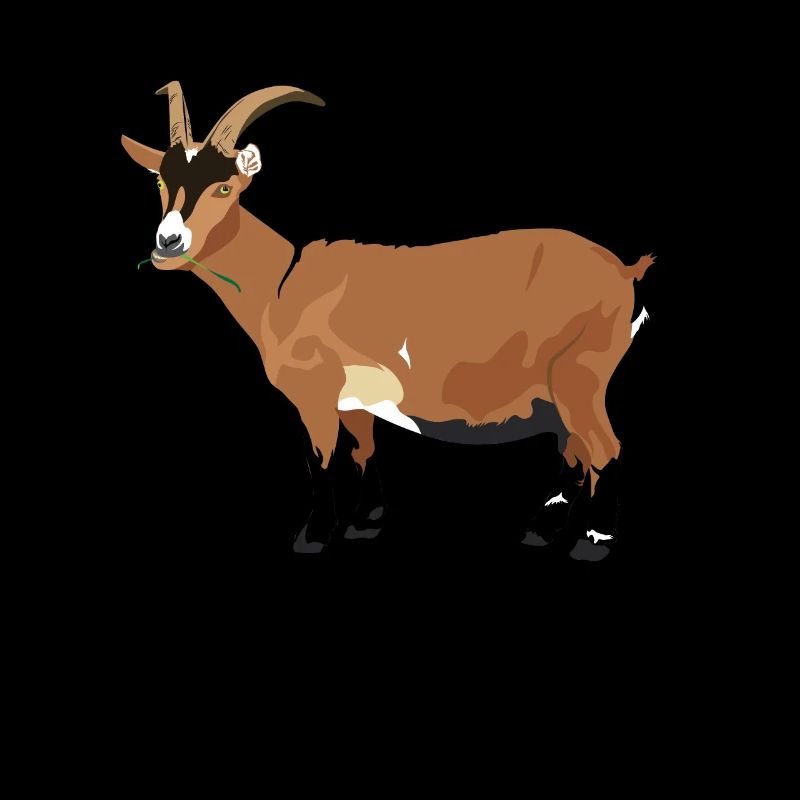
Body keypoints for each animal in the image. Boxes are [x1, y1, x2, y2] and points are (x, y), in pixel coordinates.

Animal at [123, 82, 655, 561]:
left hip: (581, 373)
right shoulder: (355, 396)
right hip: (557, 386)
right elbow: (363, 448)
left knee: (604, 447)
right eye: (159, 181)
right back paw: (542, 530)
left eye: (225, 187)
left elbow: (321, 457)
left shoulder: (314, 389)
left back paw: (593, 543)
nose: (168, 242)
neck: (281, 285)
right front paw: (366, 523)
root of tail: (626, 271)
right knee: (574, 448)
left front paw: (314, 537)